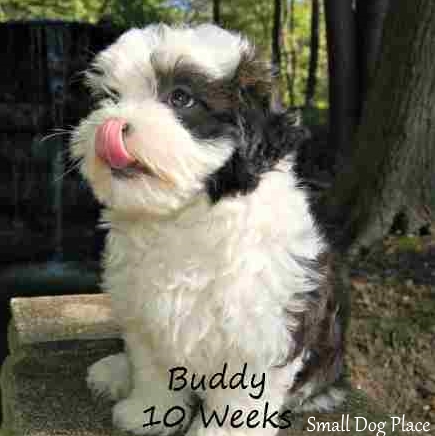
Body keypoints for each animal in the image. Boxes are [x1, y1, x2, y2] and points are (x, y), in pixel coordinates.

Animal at [70, 23, 344, 436]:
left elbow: (239, 396)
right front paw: (149, 411)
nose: (109, 126)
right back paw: (116, 371)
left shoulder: (259, 330)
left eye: (181, 98)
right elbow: (153, 367)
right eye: (111, 97)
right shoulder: (145, 316)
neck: (182, 218)